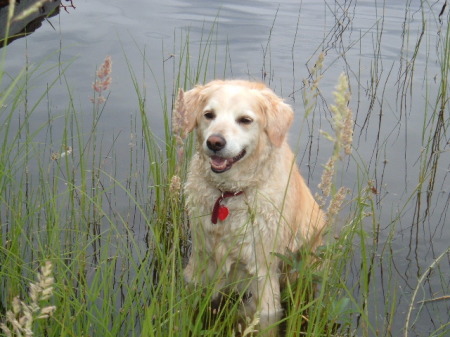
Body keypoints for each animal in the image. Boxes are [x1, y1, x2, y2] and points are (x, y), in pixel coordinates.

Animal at [178, 80, 326, 334]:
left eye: (245, 120)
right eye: (209, 115)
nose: (214, 142)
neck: (230, 193)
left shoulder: (262, 270)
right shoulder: (200, 258)